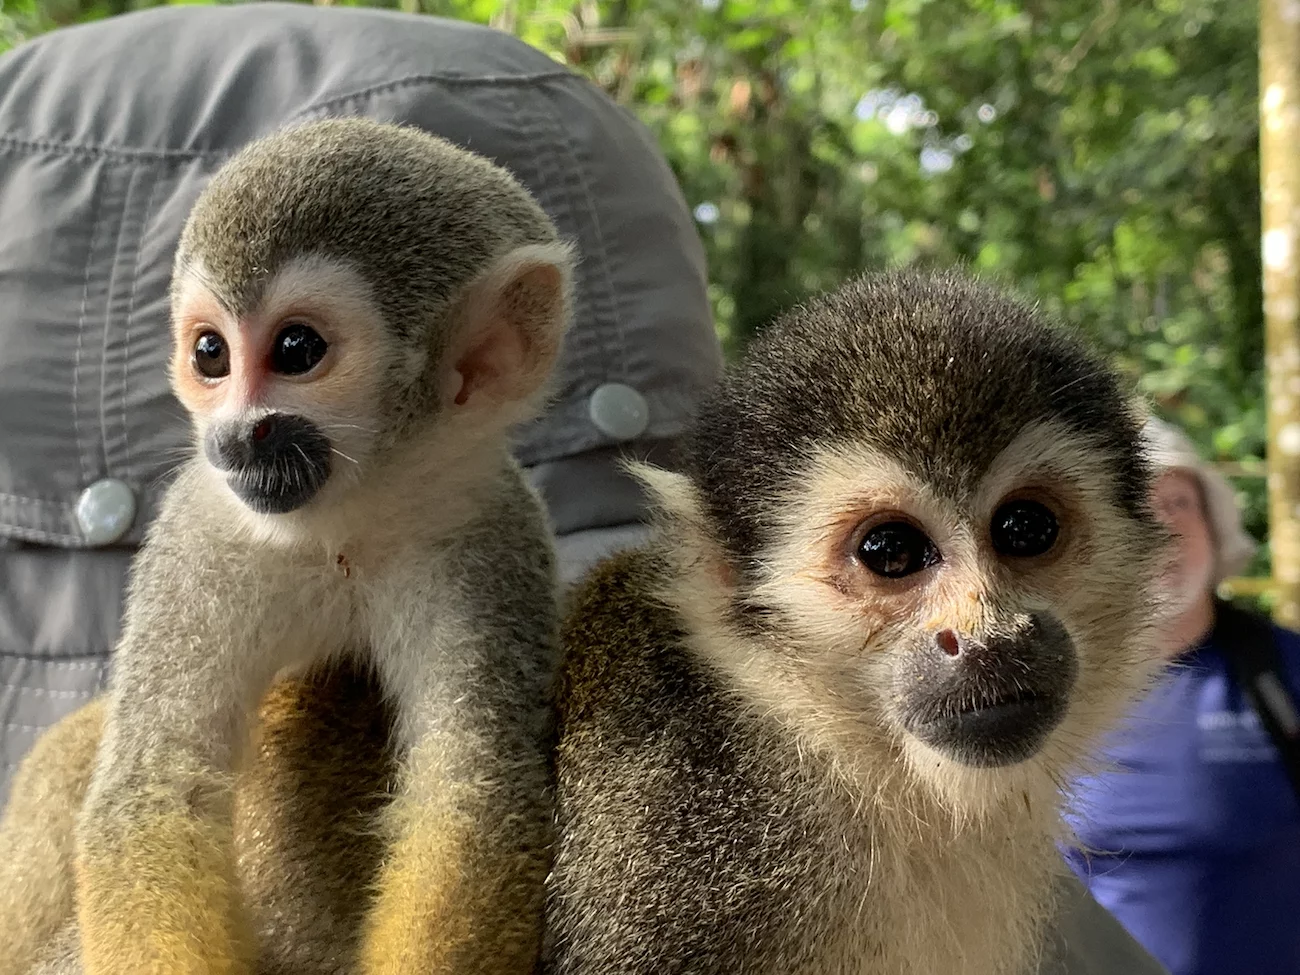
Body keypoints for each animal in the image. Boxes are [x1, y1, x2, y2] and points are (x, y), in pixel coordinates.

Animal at [0, 115, 576, 975]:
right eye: (210, 353)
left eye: (297, 349)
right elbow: (154, 790)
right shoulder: (200, 532)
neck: (345, 518)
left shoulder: (487, 534)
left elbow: (470, 798)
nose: (236, 437)